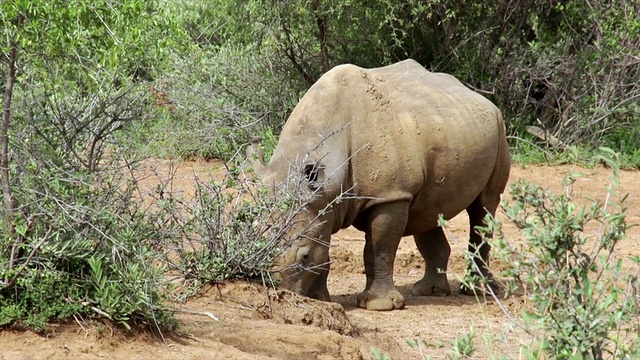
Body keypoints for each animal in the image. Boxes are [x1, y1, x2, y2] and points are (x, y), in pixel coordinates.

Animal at [249, 59, 510, 312]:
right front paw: (320, 300)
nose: (283, 294)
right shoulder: (323, 201)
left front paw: (380, 305)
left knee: (484, 207)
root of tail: (482, 98)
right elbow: (325, 247)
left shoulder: (389, 195)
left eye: (304, 256)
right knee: (428, 210)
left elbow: (379, 248)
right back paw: (430, 291)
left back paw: (479, 291)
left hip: (499, 128)